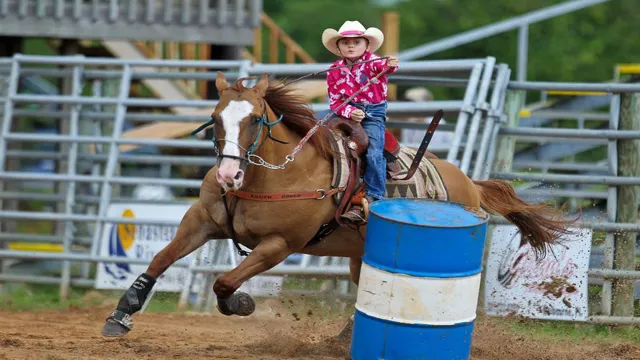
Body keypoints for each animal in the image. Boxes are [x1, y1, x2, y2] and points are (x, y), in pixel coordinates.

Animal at [101, 72, 576, 338]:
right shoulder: (200, 220)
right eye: (216, 119)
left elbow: (223, 283)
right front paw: (121, 315)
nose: (227, 176)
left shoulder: (279, 245)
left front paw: (243, 305)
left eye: (254, 119)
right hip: (358, 255)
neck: (273, 174)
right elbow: (160, 260)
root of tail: (469, 184)